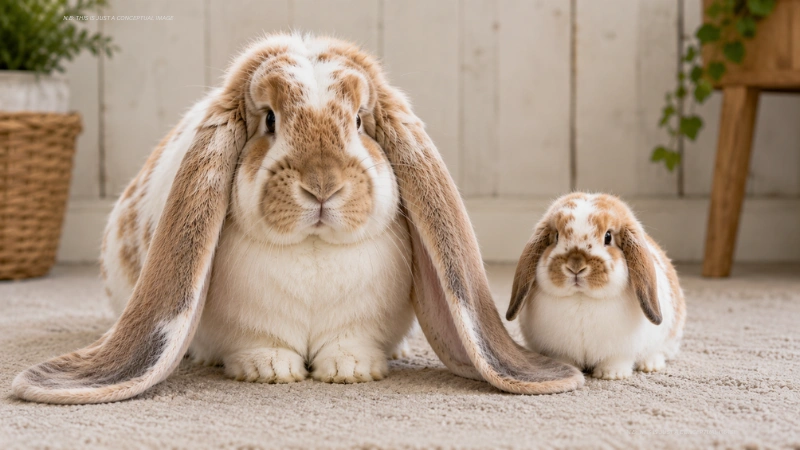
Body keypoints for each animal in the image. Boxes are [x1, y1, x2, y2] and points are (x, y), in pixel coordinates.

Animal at [13, 33, 584, 404]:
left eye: (360, 122)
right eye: (269, 119)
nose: (323, 186)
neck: (313, 251)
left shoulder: (363, 321)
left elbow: (350, 343)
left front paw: (350, 371)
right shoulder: (248, 325)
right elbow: (260, 344)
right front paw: (269, 371)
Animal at [506, 192, 686, 380]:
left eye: (608, 236)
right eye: (556, 236)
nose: (575, 266)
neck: (581, 298)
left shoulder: (620, 352)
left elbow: (616, 361)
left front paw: (612, 375)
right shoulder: (559, 351)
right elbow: (564, 359)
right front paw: (567, 369)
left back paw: (650, 365)